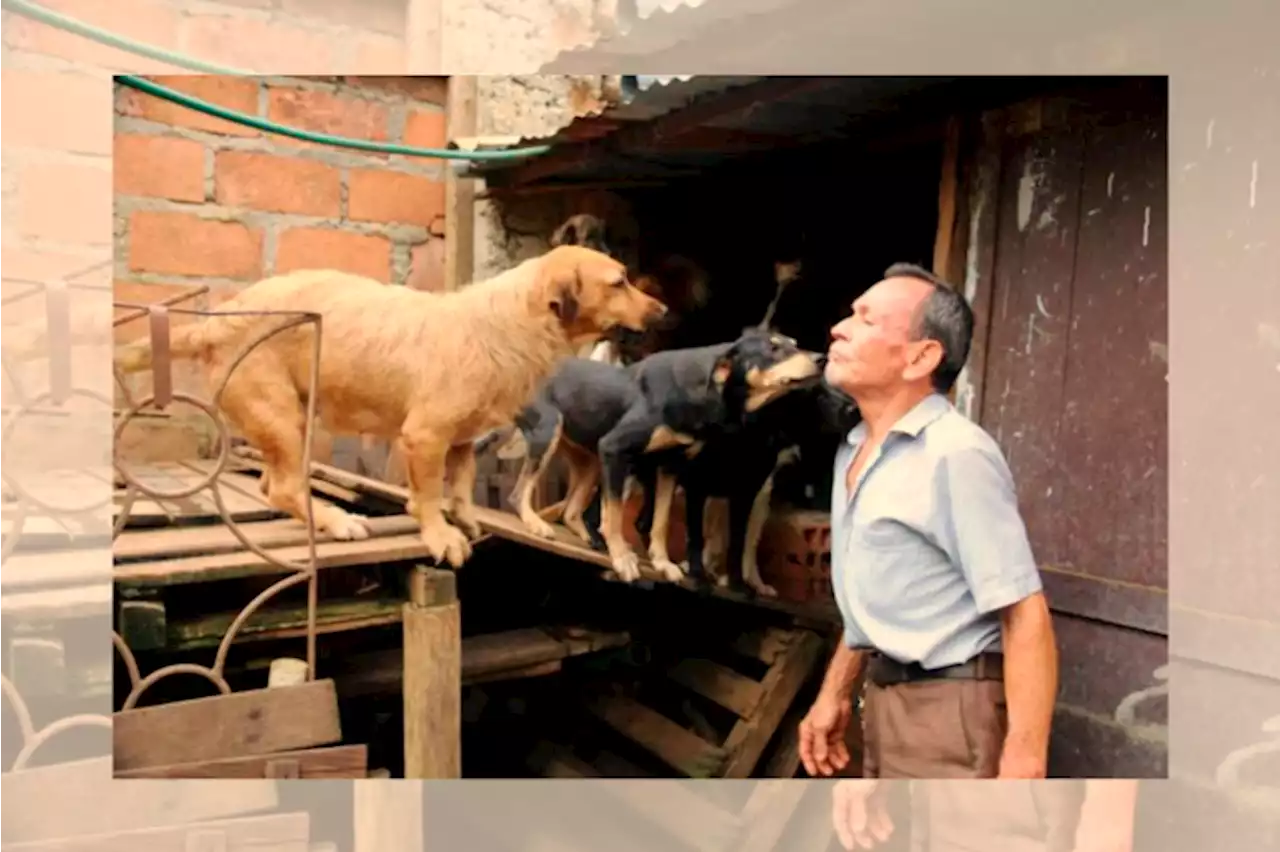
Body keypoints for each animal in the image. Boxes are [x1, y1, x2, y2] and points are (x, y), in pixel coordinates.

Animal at [117, 244, 670, 562]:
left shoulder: (461, 442)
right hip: (284, 417)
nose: (664, 311)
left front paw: (465, 518)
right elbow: (426, 496)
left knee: (273, 486)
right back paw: (338, 521)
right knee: (285, 488)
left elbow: (461, 486)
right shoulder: (424, 436)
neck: (511, 323)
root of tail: (217, 320)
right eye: (619, 282)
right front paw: (441, 536)